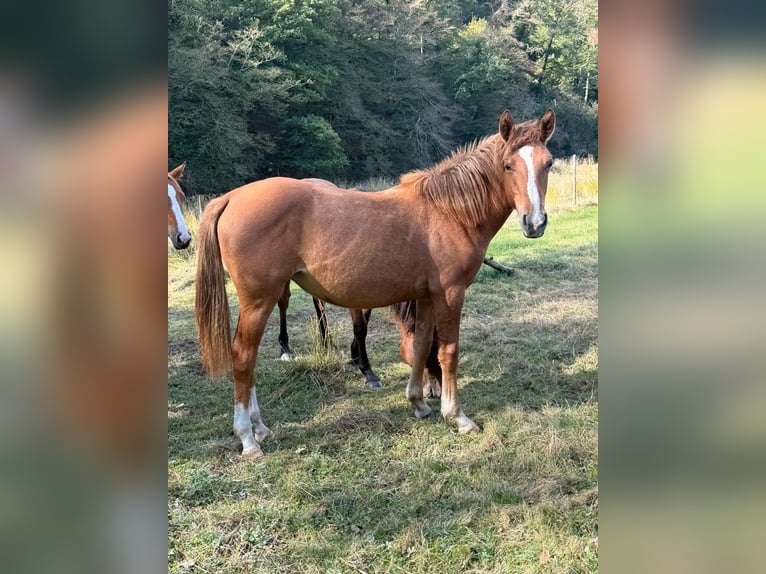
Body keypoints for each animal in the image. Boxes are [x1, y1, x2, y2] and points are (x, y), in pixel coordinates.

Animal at [195, 109, 555, 459]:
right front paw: (457, 416)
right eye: (508, 165)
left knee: (249, 356)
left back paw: (259, 427)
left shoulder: (425, 297)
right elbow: (448, 351)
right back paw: (248, 438)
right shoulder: (450, 294)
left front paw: (418, 403)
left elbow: (421, 346)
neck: (449, 211)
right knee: (243, 355)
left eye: (548, 163)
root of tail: (231, 198)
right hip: (260, 299)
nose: (534, 223)